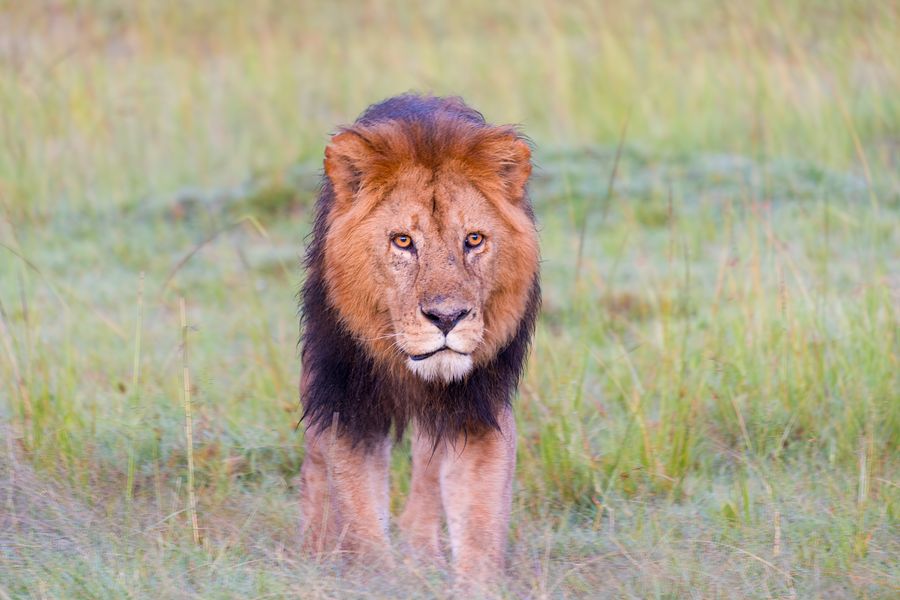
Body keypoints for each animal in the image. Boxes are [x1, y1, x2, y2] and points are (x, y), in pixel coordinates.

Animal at [297, 93, 540, 583]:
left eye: (474, 239)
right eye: (403, 241)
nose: (447, 317)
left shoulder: (478, 409)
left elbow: (480, 519)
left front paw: (474, 583)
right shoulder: (350, 407)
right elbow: (358, 512)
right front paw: (373, 579)